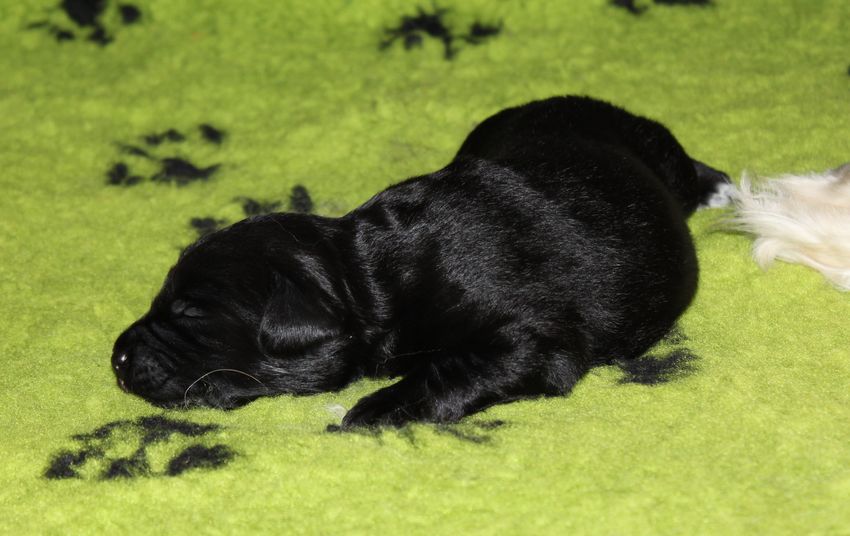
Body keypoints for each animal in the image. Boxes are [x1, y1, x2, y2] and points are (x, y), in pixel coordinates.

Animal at [112, 96, 730, 428]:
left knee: (682, 161)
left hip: (654, 149)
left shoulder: (533, 337)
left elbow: (454, 367)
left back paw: (720, 186)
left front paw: (373, 410)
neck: (364, 272)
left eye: (191, 312)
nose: (114, 359)